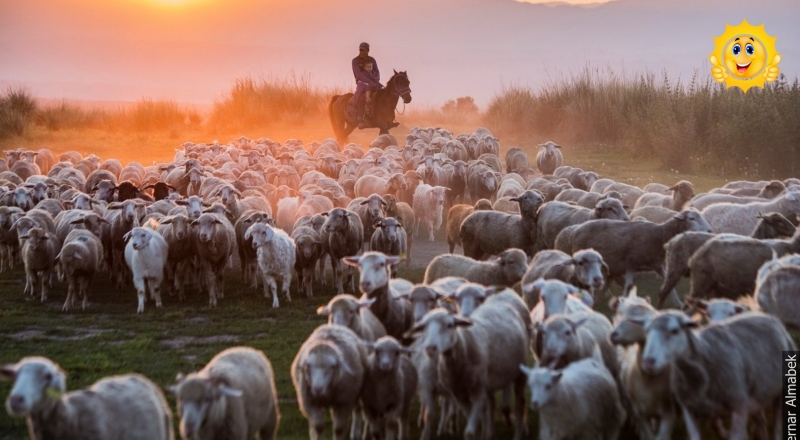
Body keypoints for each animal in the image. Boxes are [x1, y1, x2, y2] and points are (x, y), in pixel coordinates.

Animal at [556, 209, 712, 296]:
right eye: (692, 218)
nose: (709, 230)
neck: (659, 235)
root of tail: (574, 231)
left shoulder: (657, 266)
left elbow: (670, 288)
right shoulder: (631, 264)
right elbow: (628, 286)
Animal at [640, 312, 796, 440]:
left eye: (674, 331)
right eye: (646, 331)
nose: (648, 362)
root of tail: (768, 316)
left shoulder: (739, 406)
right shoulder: (690, 410)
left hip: (780, 394)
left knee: (777, 428)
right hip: (758, 395)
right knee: (761, 422)